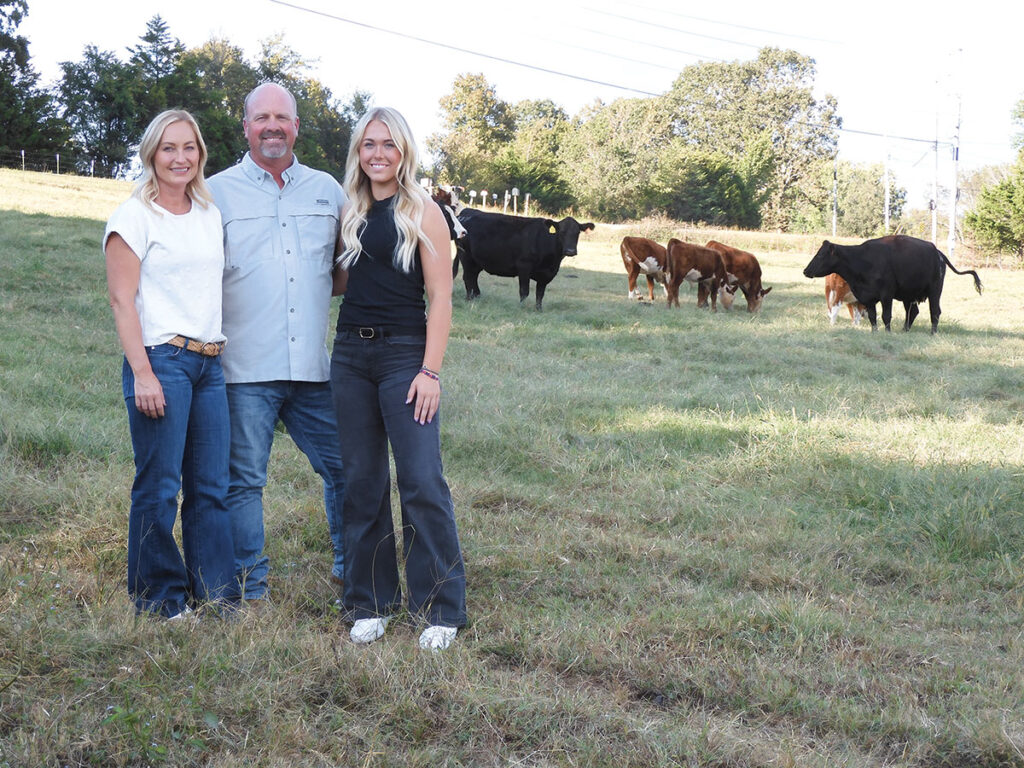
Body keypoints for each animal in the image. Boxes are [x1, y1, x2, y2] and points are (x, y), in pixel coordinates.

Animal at [454, 208, 598, 311]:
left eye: (577, 233)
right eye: (561, 232)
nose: (570, 251)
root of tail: (466, 212)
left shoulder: (546, 274)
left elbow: (540, 294)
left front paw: (539, 310)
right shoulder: (524, 266)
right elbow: (524, 291)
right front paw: (522, 307)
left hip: (476, 262)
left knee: (473, 278)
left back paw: (477, 297)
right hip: (466, 257)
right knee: (468, 277)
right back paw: (469, 299)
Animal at [798, 234, 983, 331]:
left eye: (821, 255)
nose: (806, 271)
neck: (862, 260)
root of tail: (937, 252)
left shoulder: (886, 295)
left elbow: (886, 316)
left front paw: (887, 332)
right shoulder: (868, 298)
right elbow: (872, 317)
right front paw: (874, 332)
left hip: (935, 291)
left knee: (935, 312)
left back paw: (933, 333)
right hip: (909, 296)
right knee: (913, 312)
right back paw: (905, 330)